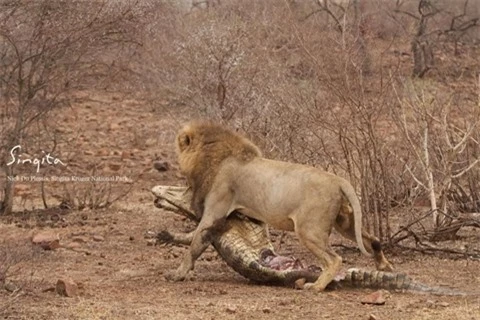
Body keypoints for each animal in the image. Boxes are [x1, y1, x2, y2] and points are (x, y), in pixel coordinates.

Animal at [170, 121, 394, 292]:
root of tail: (339, 180)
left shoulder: (214, 211)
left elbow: (195, 244)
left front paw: (177, 274)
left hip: (309, 230)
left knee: (334, 259)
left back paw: (316, 287)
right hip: (345, 223)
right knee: (373, 240)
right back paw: (384, 266)